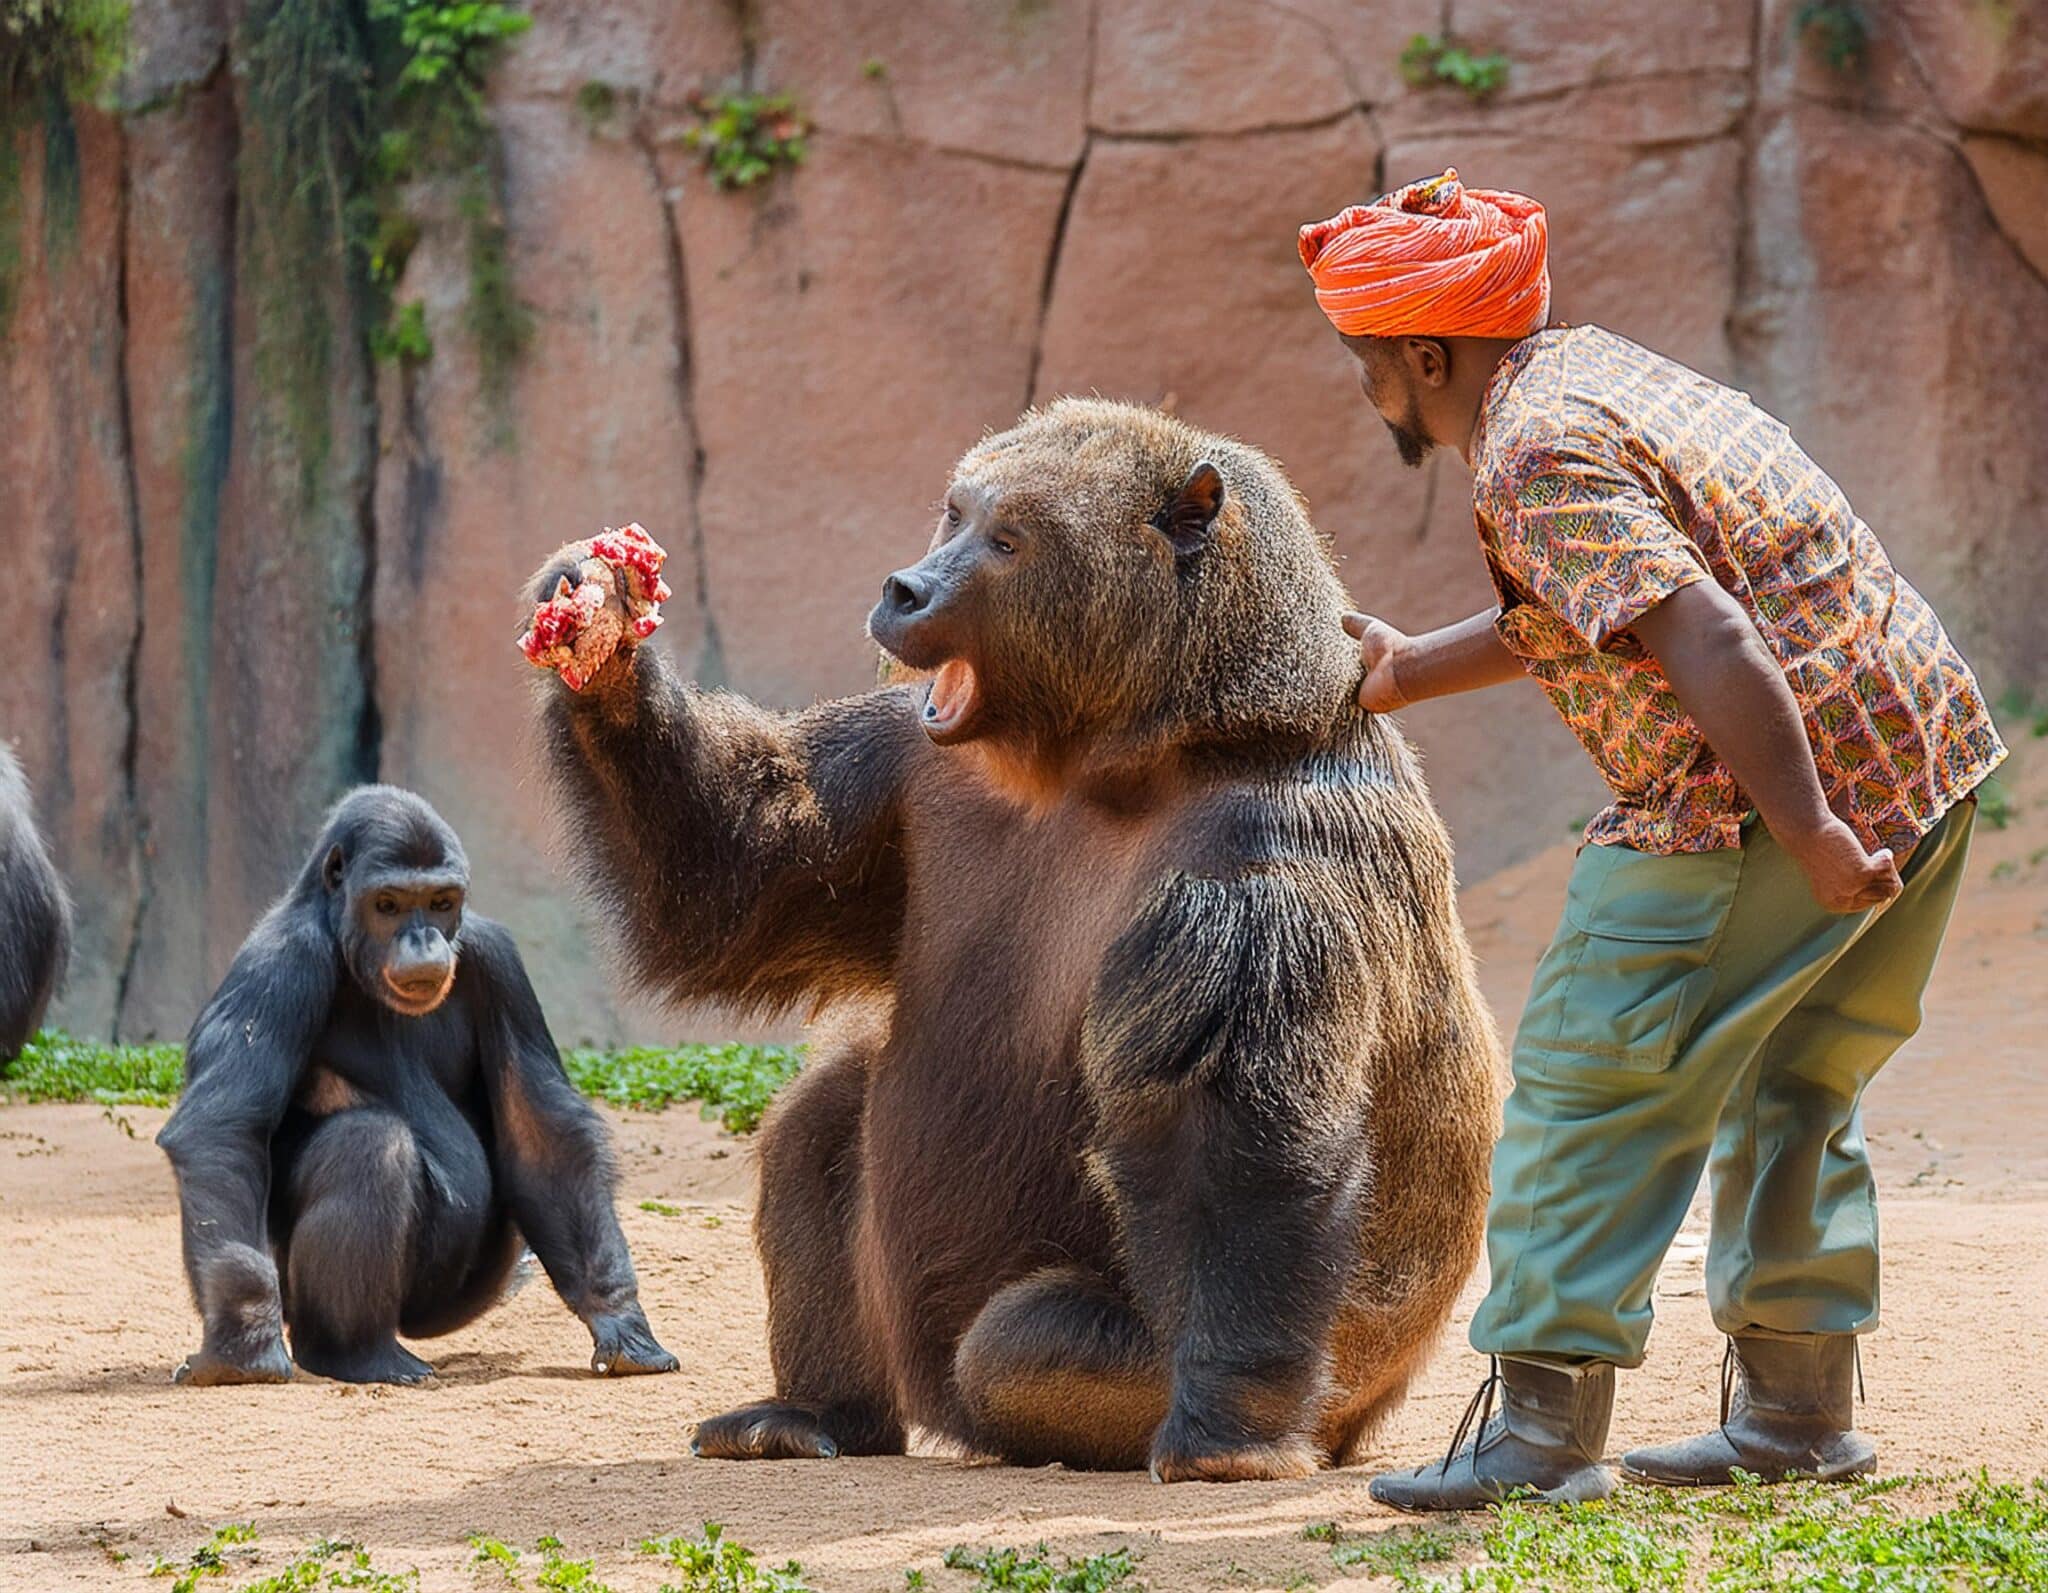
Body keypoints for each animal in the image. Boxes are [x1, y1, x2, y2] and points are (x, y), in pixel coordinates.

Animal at [161, 782, 671, 1375]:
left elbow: (544, 1139)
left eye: (440, 902)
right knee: (369, 1145)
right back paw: (355, 1351)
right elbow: (223, 1128)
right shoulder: (280, 963)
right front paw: (243, 1338)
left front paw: (620, 1320)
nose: (423, 940)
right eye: (388, 905)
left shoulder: (499, 961)